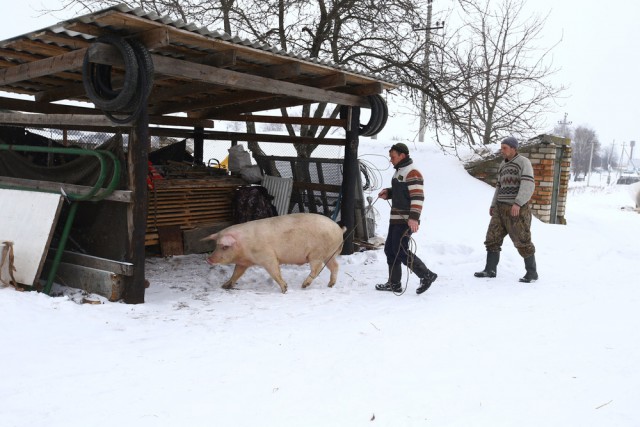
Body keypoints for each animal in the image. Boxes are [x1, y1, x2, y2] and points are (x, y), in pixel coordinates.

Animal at [204, 214, 344, 294]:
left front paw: (284, 289)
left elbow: (275, 272)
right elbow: (236, 273)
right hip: (329, 254)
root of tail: (339, 229)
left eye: (224, 246)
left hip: (317, 254)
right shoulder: (243, 263)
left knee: (317, 268)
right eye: (216, 245)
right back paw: (330, 285)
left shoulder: (267, 256)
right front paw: (224, 286)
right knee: (335, 266)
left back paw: (304, 285)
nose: (208, 259)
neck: (244, 246)